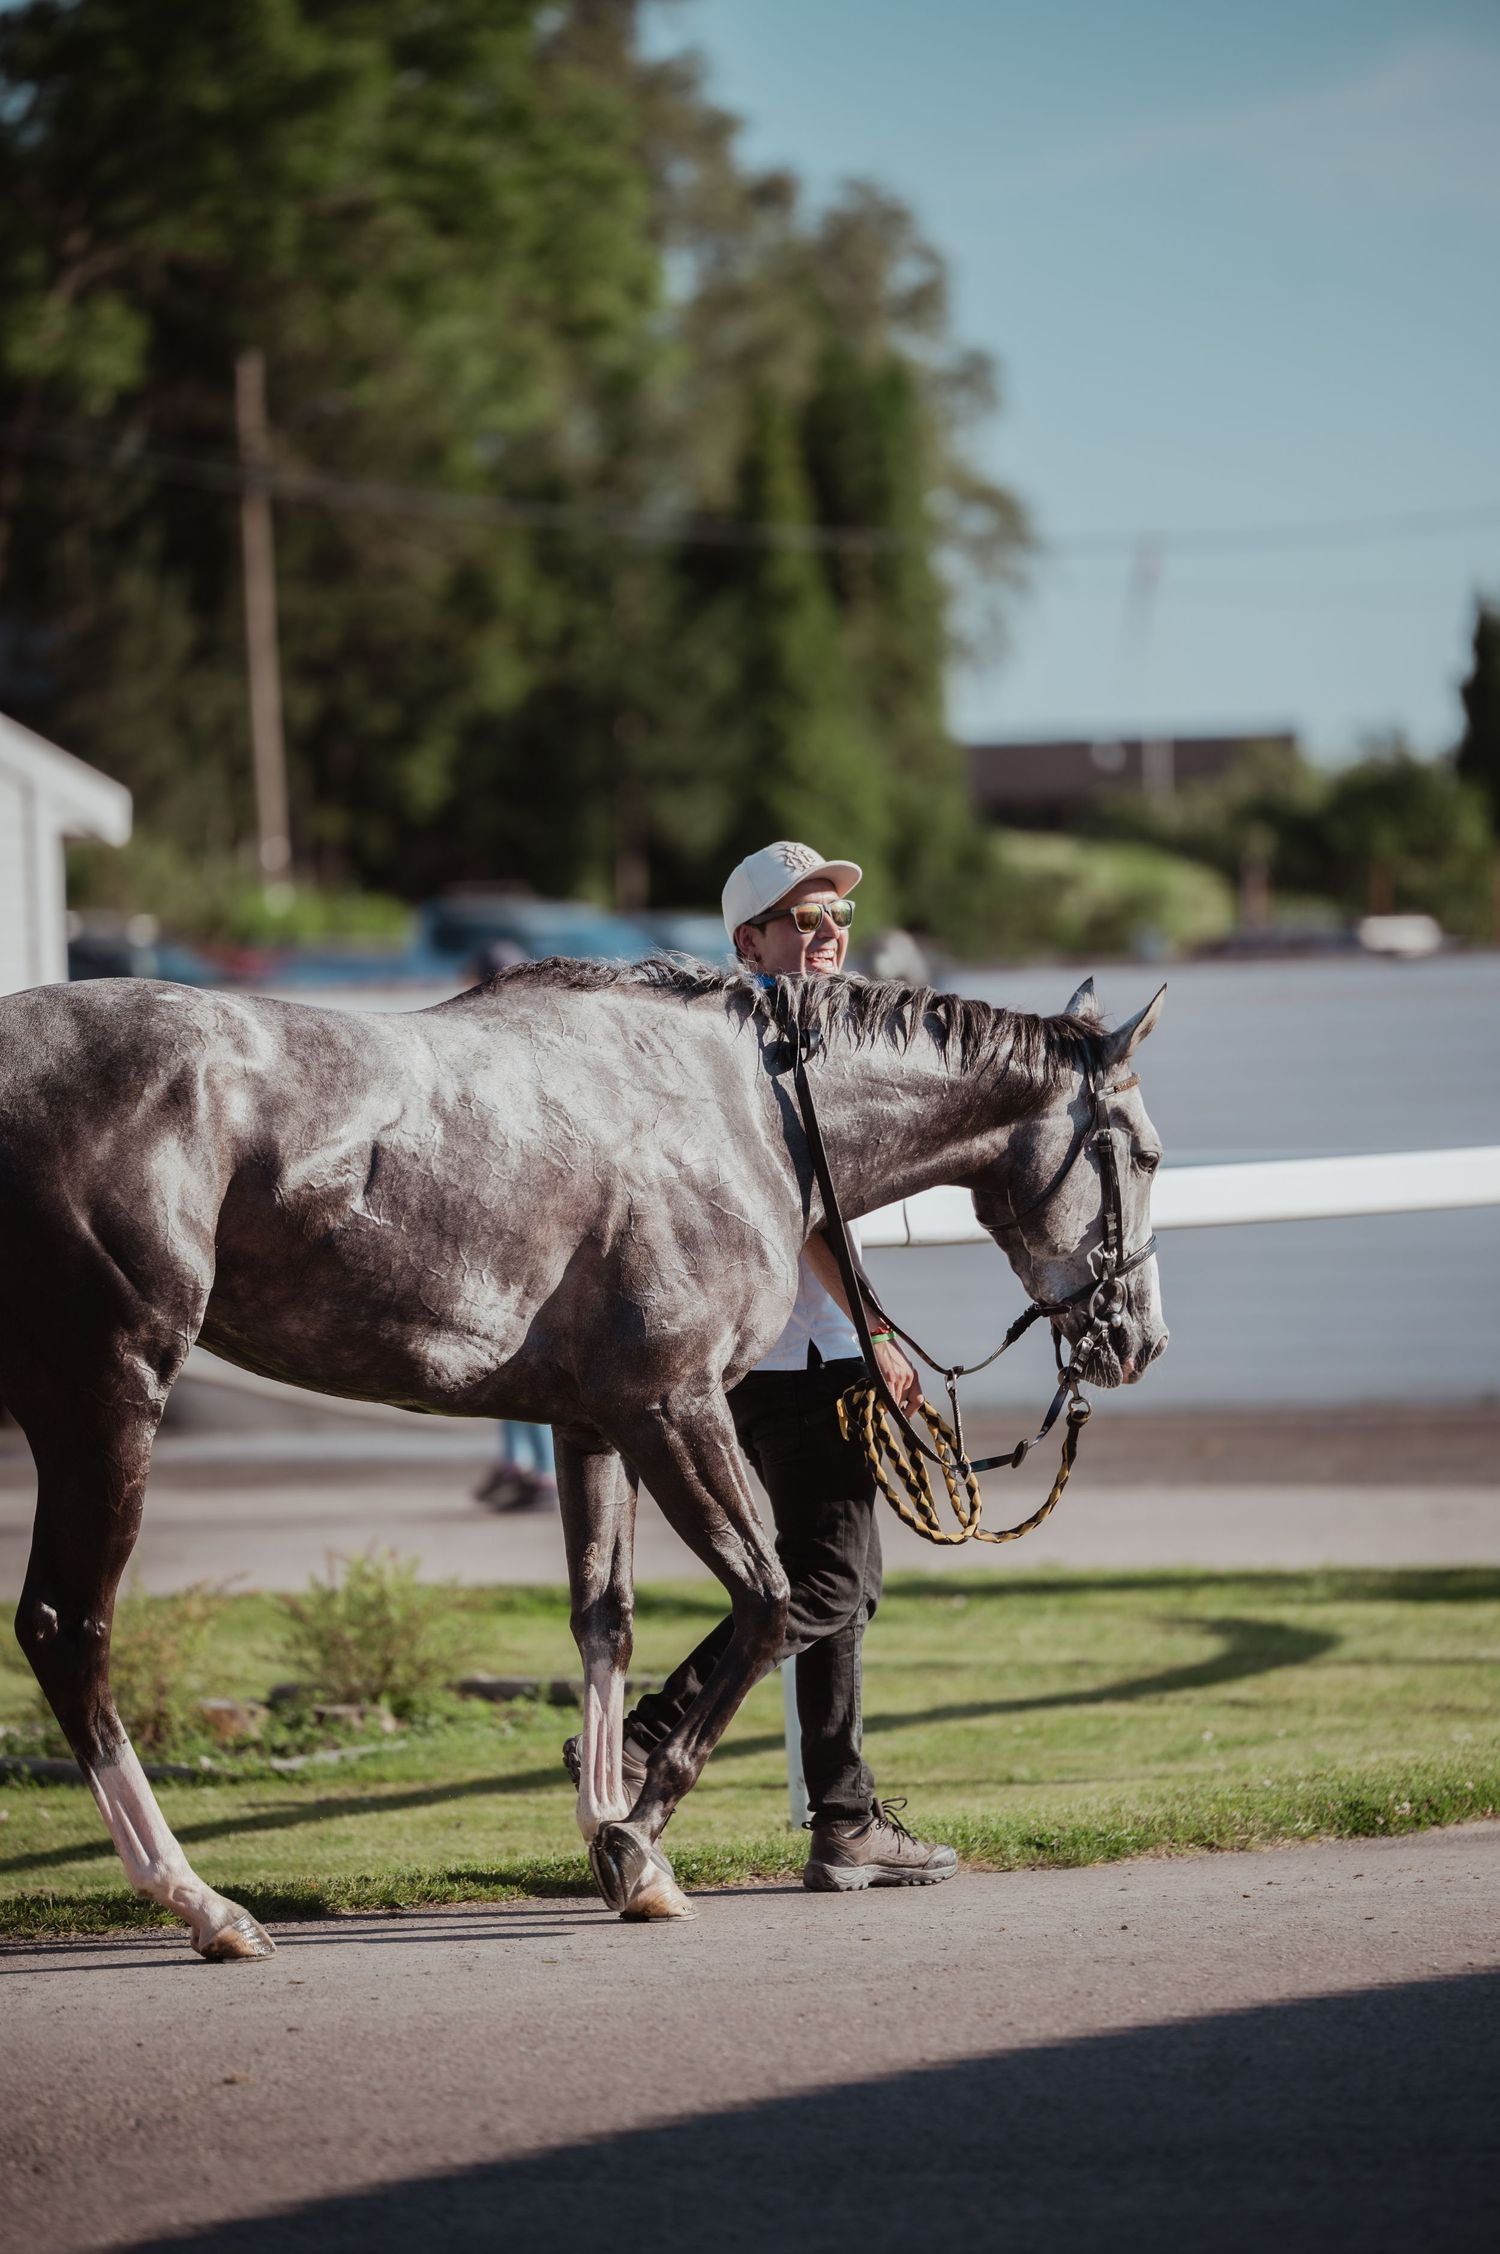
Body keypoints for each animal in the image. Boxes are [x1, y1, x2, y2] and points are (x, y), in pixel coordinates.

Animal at [0, 959, 1167, 1951]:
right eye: (1148, 1154)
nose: (1139, 1341)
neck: (745, 1106)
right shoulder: (673, 1406)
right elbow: (768, 1600)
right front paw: (634, 1839)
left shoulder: (593, 1426)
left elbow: (606, 1619)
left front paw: (614, 1832)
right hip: (111, 1393)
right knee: (69, 1626)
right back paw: (201, 1903)